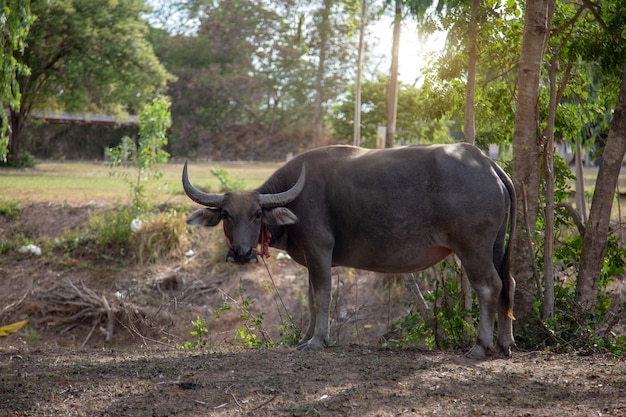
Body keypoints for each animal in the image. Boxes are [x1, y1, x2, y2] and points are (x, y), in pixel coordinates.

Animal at [183, 144, 516, 358]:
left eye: (256, 215)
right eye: (226, 215)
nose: (241, 253)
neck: (294, 201)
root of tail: (488, 164)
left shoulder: (319, 249)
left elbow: (322, 296)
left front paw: (318, 340)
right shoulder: (311, 259)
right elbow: (310, 299)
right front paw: (305, 337)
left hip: (473, 247)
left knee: (489, 286)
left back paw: (480, 346)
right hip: (496, 245)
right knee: (507, 284)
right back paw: (505, 343)